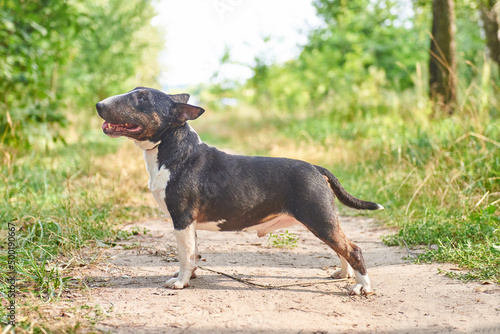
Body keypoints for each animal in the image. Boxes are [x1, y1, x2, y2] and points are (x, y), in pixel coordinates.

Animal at [95, 87, 384, 294]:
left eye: (141, 98)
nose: (98, 105)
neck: (176, 153)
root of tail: (316, 167)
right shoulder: (189, 223)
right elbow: (193, 252)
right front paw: (191, 276)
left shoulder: (182, 218)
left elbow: (185, 255)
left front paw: (180, 282)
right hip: (323, 219)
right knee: (342, 247)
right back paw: (343, 274)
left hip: (318, 217)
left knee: (353, 249)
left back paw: (362, 287)